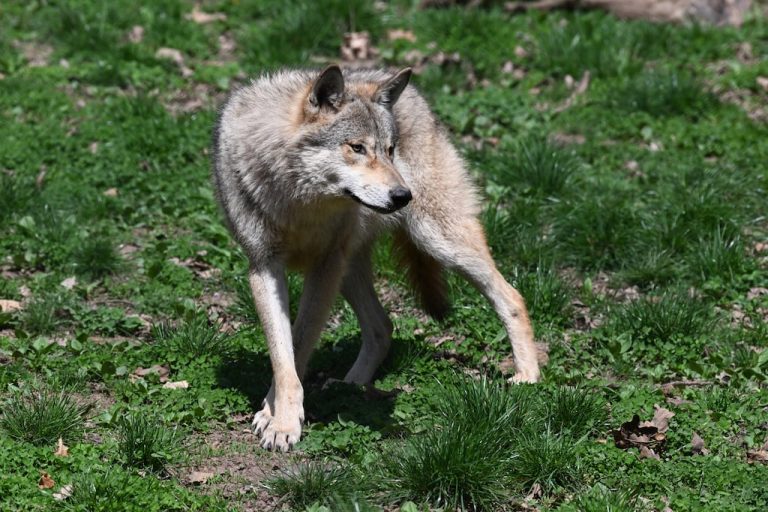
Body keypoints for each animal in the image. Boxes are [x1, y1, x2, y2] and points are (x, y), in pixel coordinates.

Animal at [212, 65, 540, 452]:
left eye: (389, 150)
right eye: (357, 148)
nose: (403, 196)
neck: (299, 204)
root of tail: (418, 98)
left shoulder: (324, 266)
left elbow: (299, 342)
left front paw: (279, 419)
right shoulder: (265, 267)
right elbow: (284, 355)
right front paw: (277, 415)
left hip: (436, 241)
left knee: (512, 296)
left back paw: (528, 374)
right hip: (350, 270)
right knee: (383, 326)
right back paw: (351, 385)